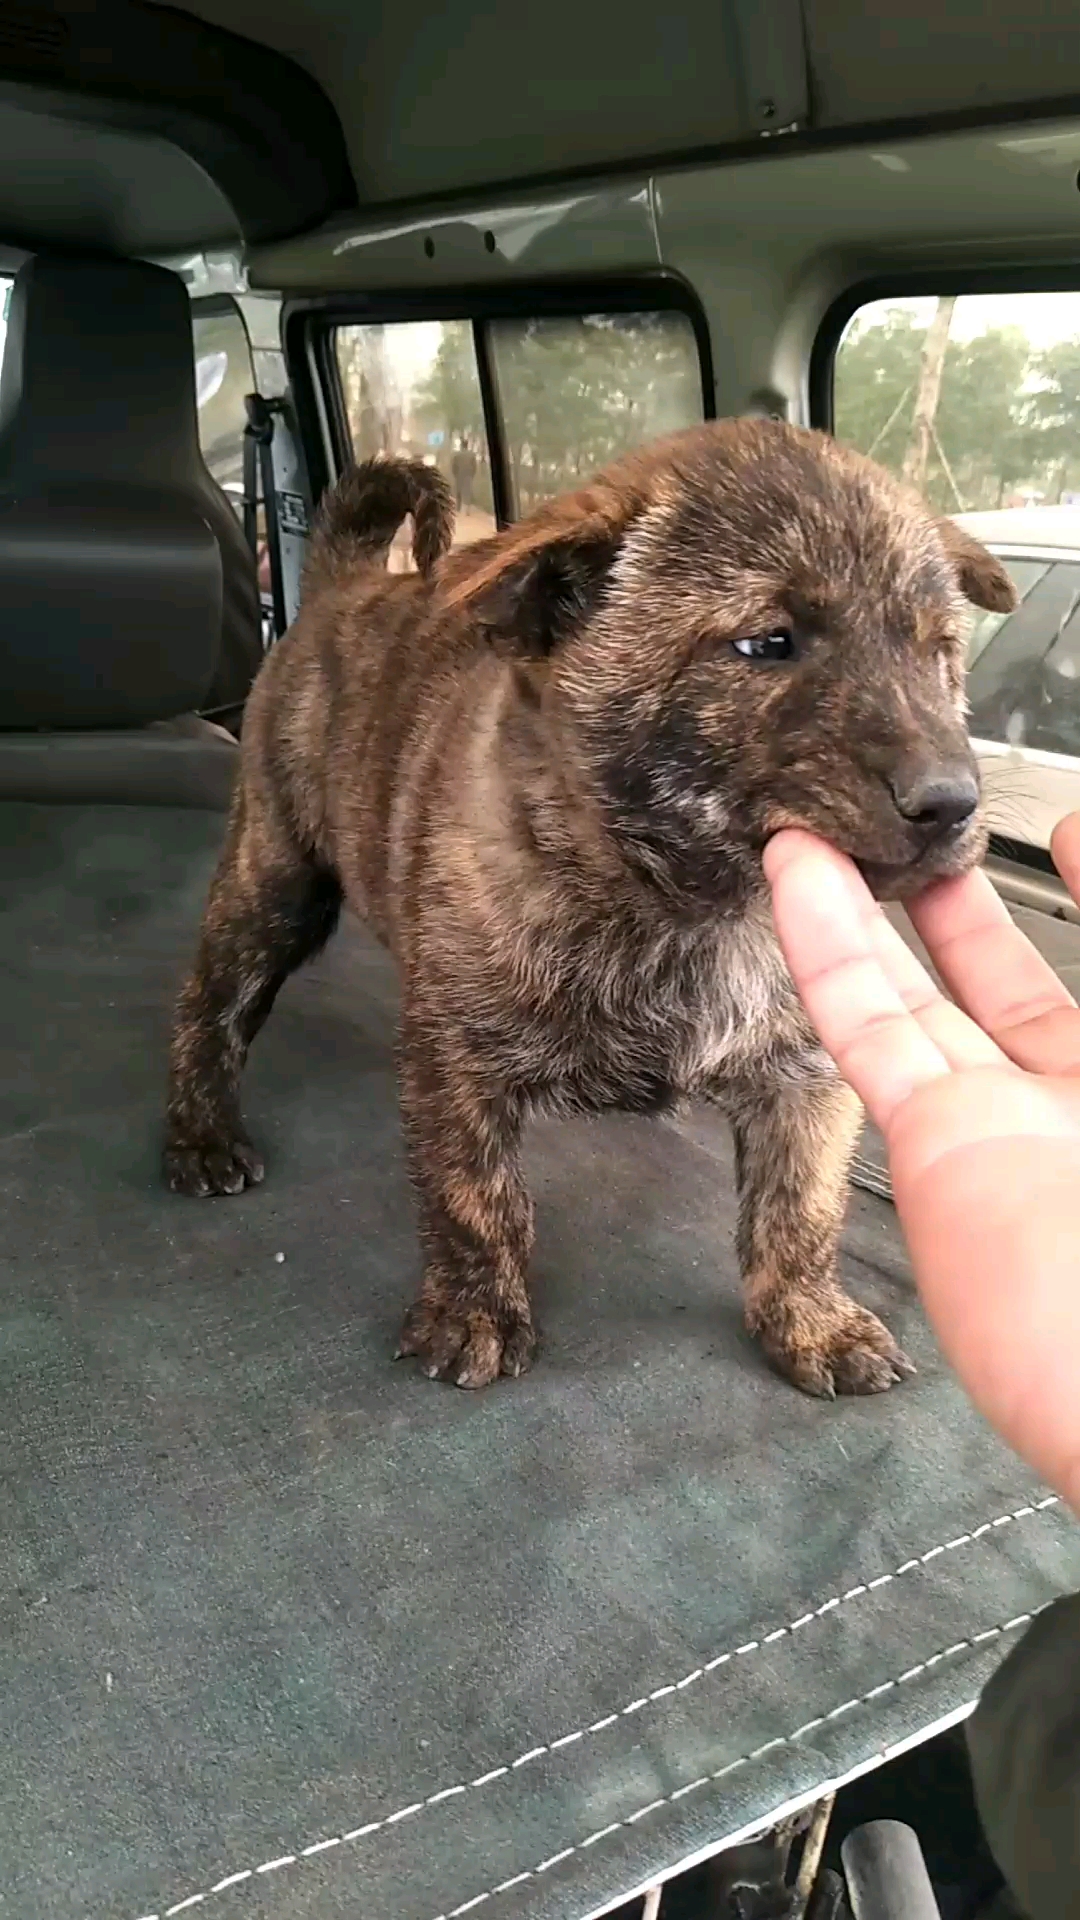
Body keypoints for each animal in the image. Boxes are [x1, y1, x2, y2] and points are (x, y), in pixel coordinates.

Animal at [164, 424, 1014, 1397]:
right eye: (767, 643)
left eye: (940, 652)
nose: (950, 803)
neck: (687, 905)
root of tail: (344, 585)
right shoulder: (456, 1060)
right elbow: (474, 1196)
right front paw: (473, 1312)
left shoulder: (806, 1074)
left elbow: (800, 1208)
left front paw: (809, 1320)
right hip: (273, 884)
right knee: (209, 1007)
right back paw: (200, 1135)